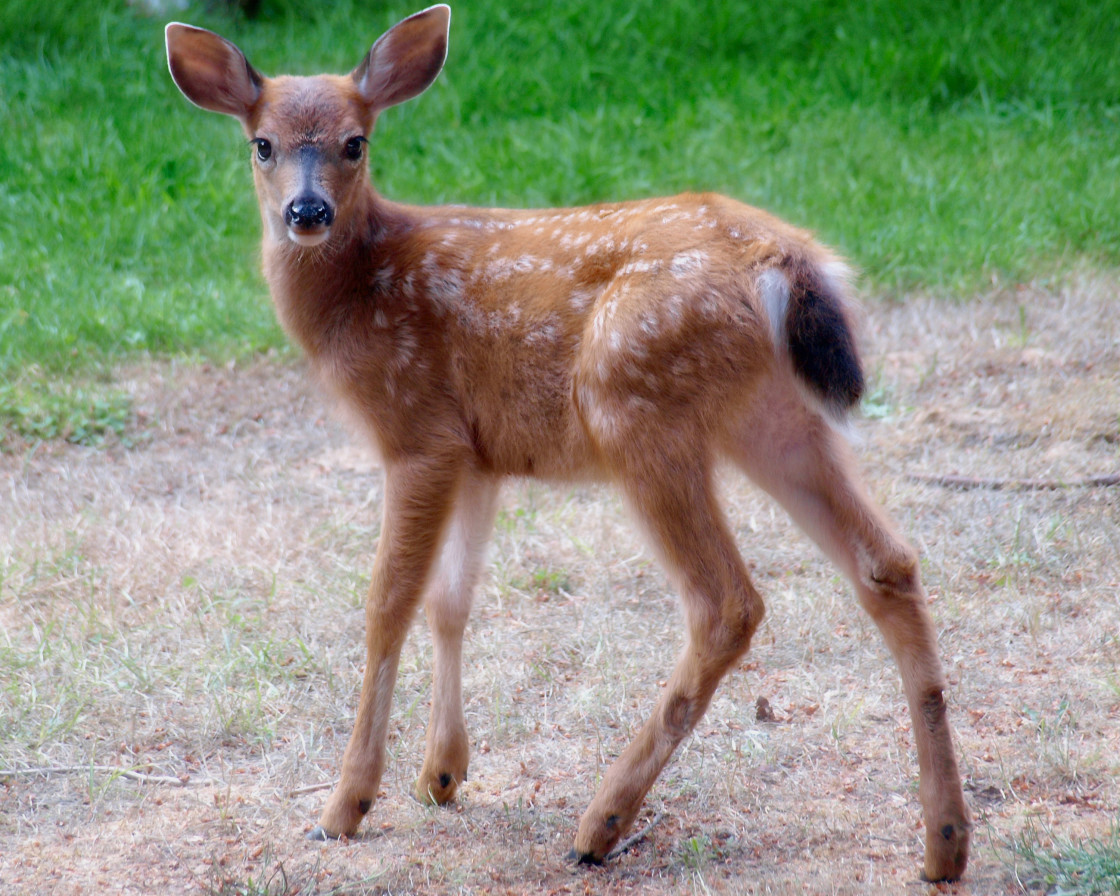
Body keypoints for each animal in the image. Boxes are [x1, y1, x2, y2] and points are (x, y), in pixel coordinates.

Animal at [163, 3, 972, 878]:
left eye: (355, 141)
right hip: (773, 417)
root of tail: (781, 258)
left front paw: (346, 805)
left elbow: (389, 603)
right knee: (887, 564)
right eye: (262, 143)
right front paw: (441, 773)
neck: (360, 291)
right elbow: (453, 600)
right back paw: (945, 843)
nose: (306, 213)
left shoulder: (417, 431)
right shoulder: (477, 455)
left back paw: (600, 823)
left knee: (727, 602)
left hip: (634, 402)